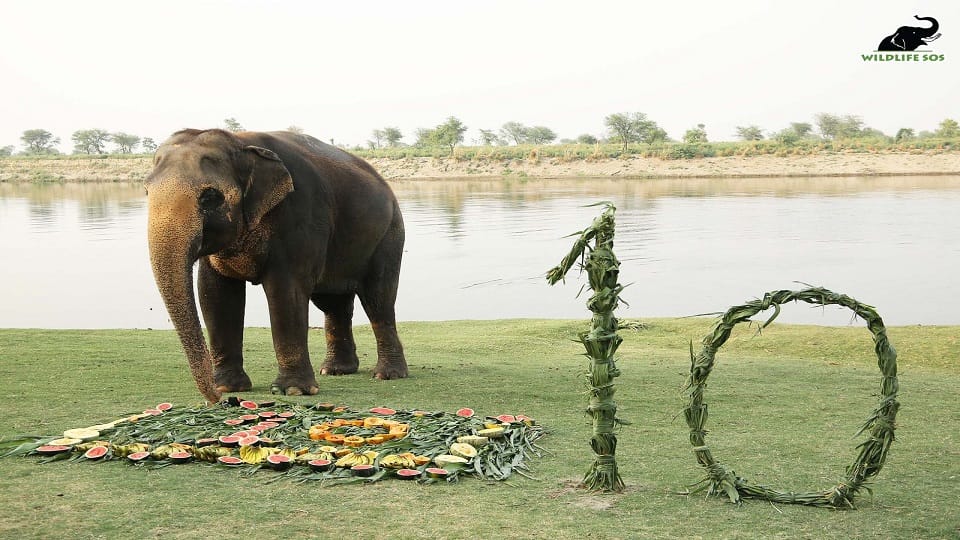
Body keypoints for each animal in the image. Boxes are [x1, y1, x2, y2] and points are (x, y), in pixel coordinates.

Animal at [145, 128, 407, 404]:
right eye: (146, 191)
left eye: (210, 197)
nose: (216, 399)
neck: (239, 142)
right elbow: (215, 293)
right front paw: (229, 386)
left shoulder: (300, 215)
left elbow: (286, 292)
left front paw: (293, 390)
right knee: (333, 304)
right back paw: (336, 370)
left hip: (389, 236)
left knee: (378, 301)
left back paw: (387, 375)